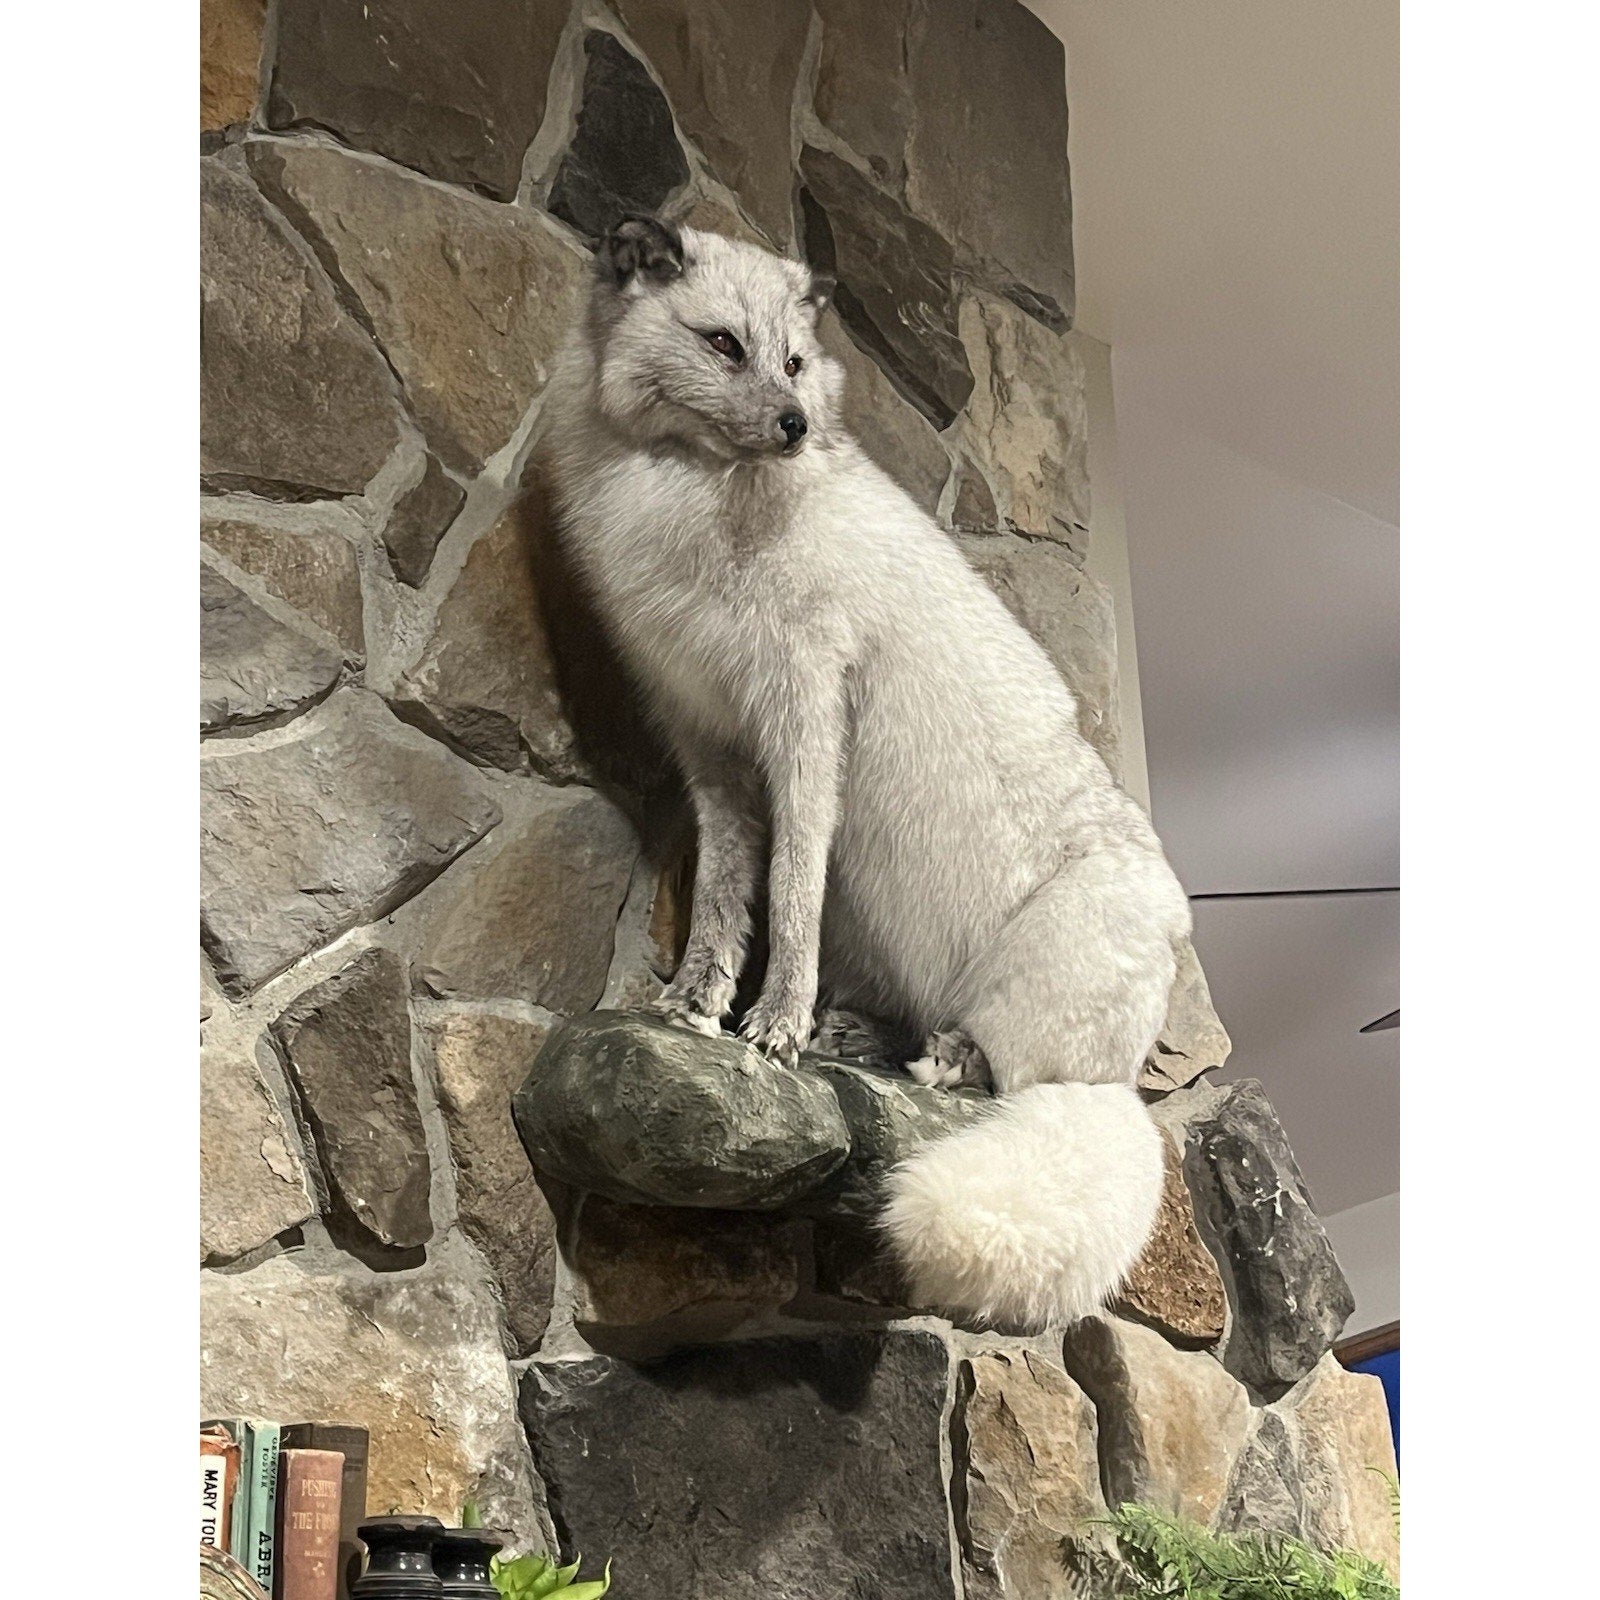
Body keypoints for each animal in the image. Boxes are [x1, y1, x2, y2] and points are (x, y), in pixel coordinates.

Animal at [536, 214, 1194, 1329]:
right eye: (723, 344)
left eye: (795, 361)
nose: (797, 425)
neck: (679, 493)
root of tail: (1120, 1080)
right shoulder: (703, 739)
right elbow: (725, 892)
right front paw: (695, 1002)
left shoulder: (804, 707)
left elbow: (792, 882)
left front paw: (775, 1025)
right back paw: (860, 1033)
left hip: (1035, 996)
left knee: (1001, 1072)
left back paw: (936, 1053)